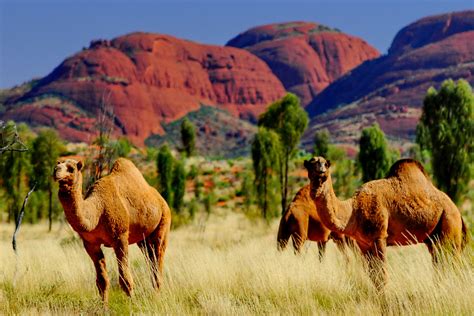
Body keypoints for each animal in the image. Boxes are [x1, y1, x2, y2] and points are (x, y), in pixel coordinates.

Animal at [54, 157, 172, 302]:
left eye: (71, 168)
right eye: (58, 164)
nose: (56, 171)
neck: (97, 210)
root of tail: (161, 199)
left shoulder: (120, 236)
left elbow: (125, 278)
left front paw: (132, 303)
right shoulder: (90, 243)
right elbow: (102, 281)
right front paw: (103, 305)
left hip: (163, 222)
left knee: (158, 258)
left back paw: (157, 297)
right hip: (143, 240)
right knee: (150, 259)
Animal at [304, 157, 466, 288]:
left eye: (325, 165)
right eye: (311, 164)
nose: (320, 170)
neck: (353, 211)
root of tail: (458, 211)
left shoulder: (379, 236)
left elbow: (382, 275)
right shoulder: (363, 243)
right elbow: (373, 276)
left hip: (450, 226)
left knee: (454, 263)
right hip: (434, 239)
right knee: (440, 264)